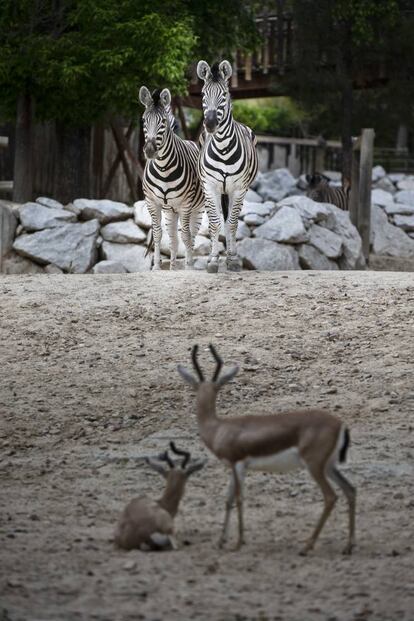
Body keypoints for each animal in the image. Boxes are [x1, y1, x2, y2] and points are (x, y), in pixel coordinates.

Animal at [138, 85, 205, 268]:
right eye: (144, 121)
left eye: (163, 122)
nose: (150, 151)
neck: (163, 169)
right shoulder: (152, 202)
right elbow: (157, 234)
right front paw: (156, 266)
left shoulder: (186, 204)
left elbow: (186, 236)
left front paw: (189, 265)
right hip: (170, 211)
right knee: (173, 237)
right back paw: (173, 265)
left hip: (196, 209)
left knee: (192, 235)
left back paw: (189, 262)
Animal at [196, 60, 258, 272]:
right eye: (203, 94)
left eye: (224, 95)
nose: (210, 124)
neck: (222, 147)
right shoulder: (211, 186)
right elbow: (215, 223)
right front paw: (214, 260)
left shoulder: (238, 188)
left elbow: (231, 223)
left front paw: (232, 259)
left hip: (235, 191)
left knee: (232, 220)